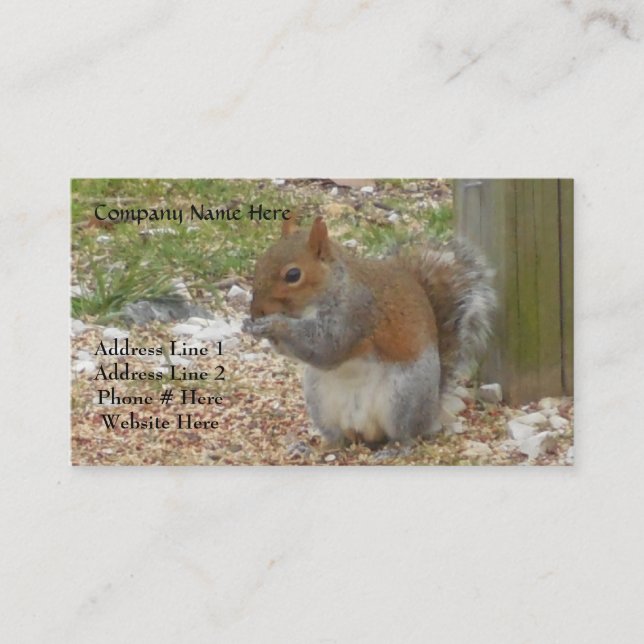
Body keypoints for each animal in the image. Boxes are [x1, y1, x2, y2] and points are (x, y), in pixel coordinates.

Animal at [243, 216, 495, 447]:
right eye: (259, 263)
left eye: (293, 275)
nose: (256, 311)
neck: (334, 285)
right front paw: (250, 325)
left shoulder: (355, 313)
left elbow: (326, 347)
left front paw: (273, 324)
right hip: (319, 401)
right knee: (338, 438)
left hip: (403, 396)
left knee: (407, 434)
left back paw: (397, 448)